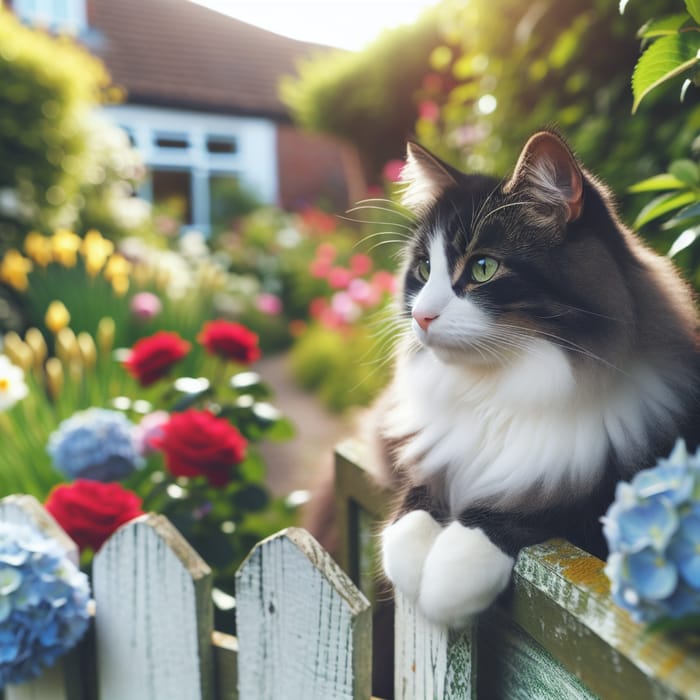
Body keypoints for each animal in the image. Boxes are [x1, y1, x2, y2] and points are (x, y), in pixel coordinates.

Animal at [378, 131, 700, 628]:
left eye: (483, 268)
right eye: (423, 271)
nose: (421, 316)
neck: (497, 392)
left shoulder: (602, 493)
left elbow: (536, 507)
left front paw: (447, 576)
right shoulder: (429, 460)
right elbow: (414, 504)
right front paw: (412, 565)